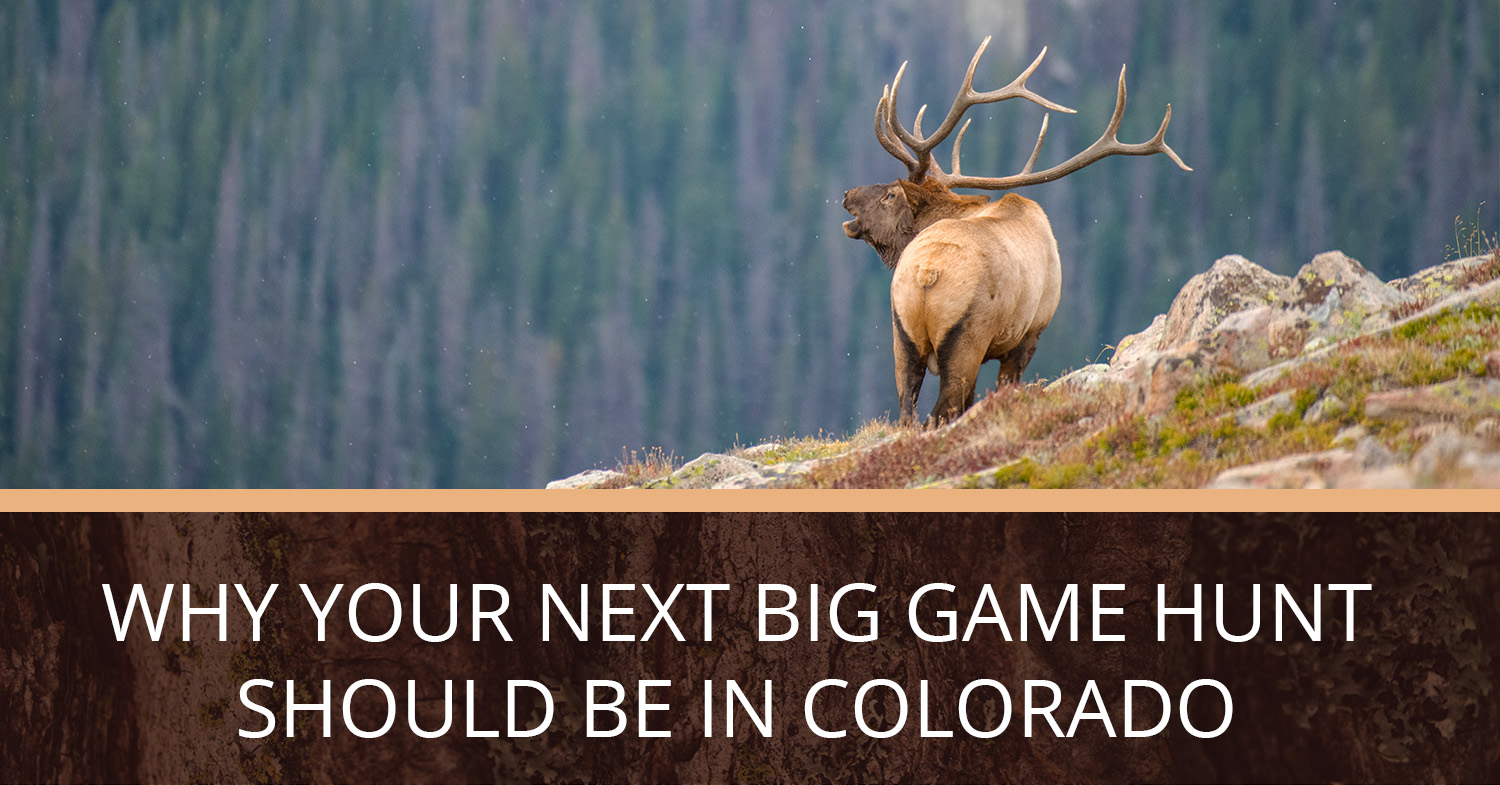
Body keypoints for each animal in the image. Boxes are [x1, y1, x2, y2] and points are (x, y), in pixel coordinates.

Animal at [852, 37, 1188, 426]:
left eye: (890, 194)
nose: (847, 196)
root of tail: (926, 272)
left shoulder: (1024, 336)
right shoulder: (1029, 334)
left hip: (907, 335)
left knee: (911, 412)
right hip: (964, 339)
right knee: (940, 411)